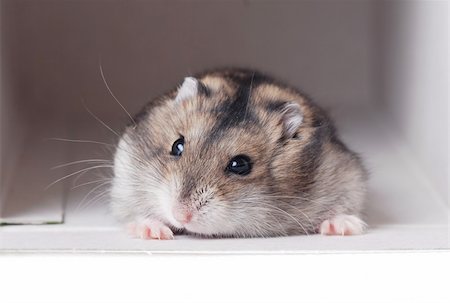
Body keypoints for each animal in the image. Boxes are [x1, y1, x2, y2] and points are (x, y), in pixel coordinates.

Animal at [110, 68, 368, 240]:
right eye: (177, 146)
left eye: (240, 165)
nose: (180, 215)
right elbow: (136, 213)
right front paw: (154, 232)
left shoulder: (347, 177)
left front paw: (343, 227)